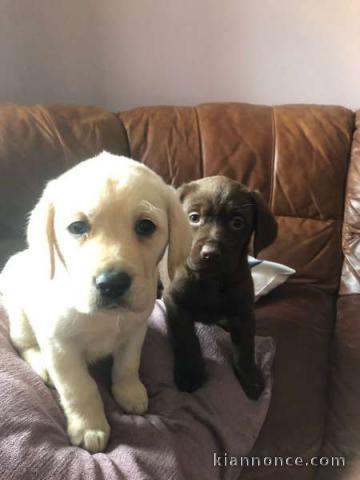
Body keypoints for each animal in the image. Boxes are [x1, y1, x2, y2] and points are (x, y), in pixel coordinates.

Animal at [0, 153, 191, 454]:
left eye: (146, 226)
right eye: (77, 227)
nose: (112, 283)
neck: (104, 318)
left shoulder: (136, 330)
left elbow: (127, 365)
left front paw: (130, 391)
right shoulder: (59, 345)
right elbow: (79, 387)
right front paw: (88, 426)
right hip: (20, 318)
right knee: (23, 344)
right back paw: (42, 365)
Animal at [163, 176, 278, 402]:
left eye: (237, 222)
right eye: (194, 217)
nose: (211, 254)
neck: (212, 281)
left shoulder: (244, 312)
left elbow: (246, 348)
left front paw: (249, 377)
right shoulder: (175, 303)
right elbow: (187, 339)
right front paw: (190, 373)